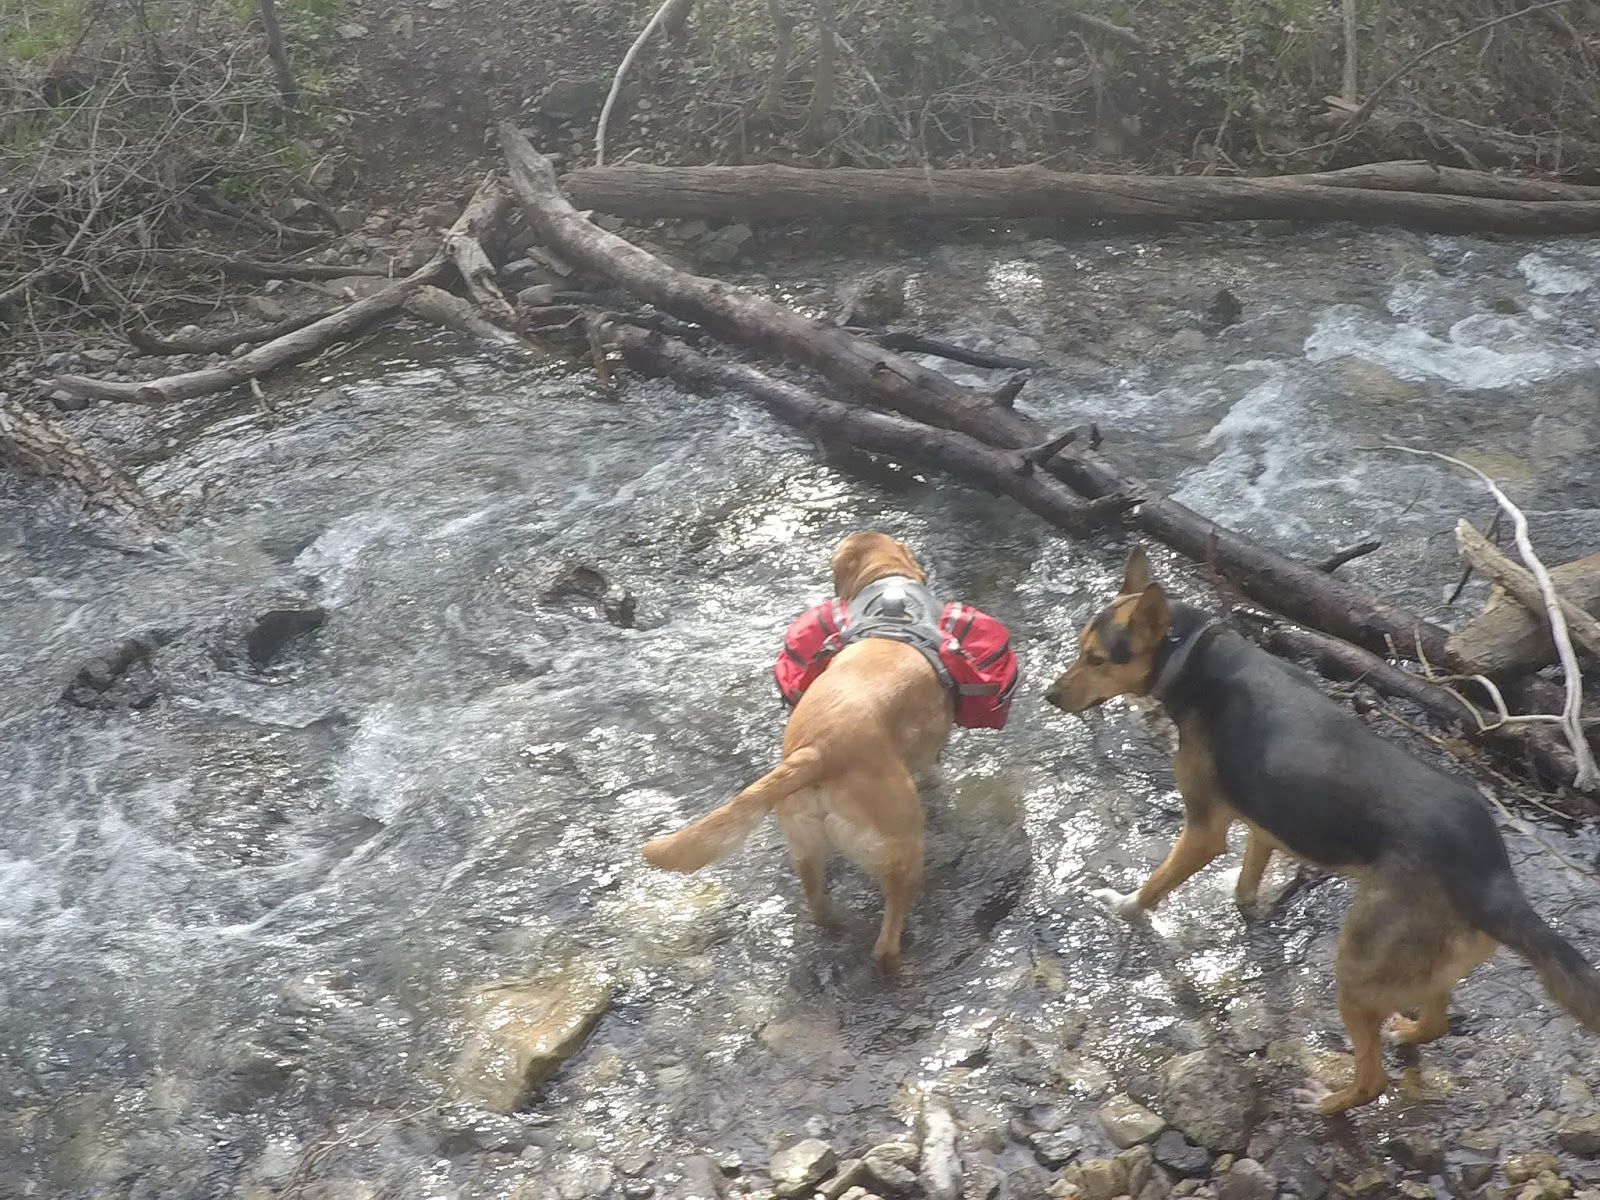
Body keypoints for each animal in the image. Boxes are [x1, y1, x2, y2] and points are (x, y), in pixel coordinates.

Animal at [1043, 550, 1593, 1113]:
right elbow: (1246, 880)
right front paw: (1252, 912)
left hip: (1355, 966)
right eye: (1079, 649)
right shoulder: (1264, 822)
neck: (1192, 653)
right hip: (1419, 966)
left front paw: (1121, 906)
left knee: (1373, 1080)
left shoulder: (1204, 830)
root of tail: (1490, 877)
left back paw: (1325, 1101)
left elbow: (1154, 886)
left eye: (1097, 660)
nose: (1048, 695)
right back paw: (1405, 1033)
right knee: (1434, 1024)